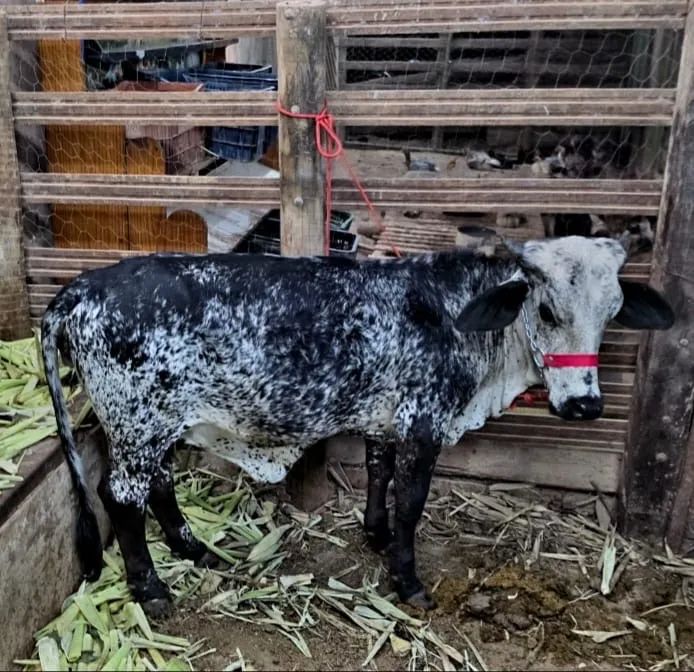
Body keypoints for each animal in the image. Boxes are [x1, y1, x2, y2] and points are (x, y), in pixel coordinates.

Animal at [41, 236, 674, 617]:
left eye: (612, 313)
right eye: (546, 310)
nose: (585, 406)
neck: (457, 313)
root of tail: (81, 289)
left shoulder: (385, 421)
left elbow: (378, 473)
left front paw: (375, 533)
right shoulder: (424, 424)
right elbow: (411, 502)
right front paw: (408, 581)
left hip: (158, 426)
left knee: (159, 485)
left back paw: (193, 548)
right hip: (137, 425)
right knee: (120, 496)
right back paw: (152, 591)